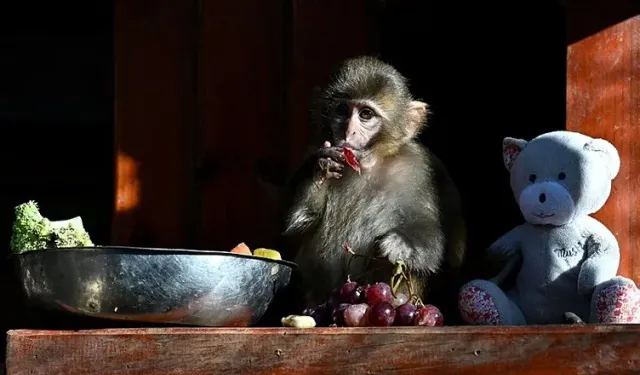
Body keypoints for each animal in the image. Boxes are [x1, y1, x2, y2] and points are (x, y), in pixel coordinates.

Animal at [284, 55, 464, 308]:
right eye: (342, 110)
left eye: (366, 114)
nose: (348, 133)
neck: (367, 167)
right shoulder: (310, 151)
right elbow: (299, 225)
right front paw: (322, 169)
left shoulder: (419, 169)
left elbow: (432, 242)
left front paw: (399, 244)